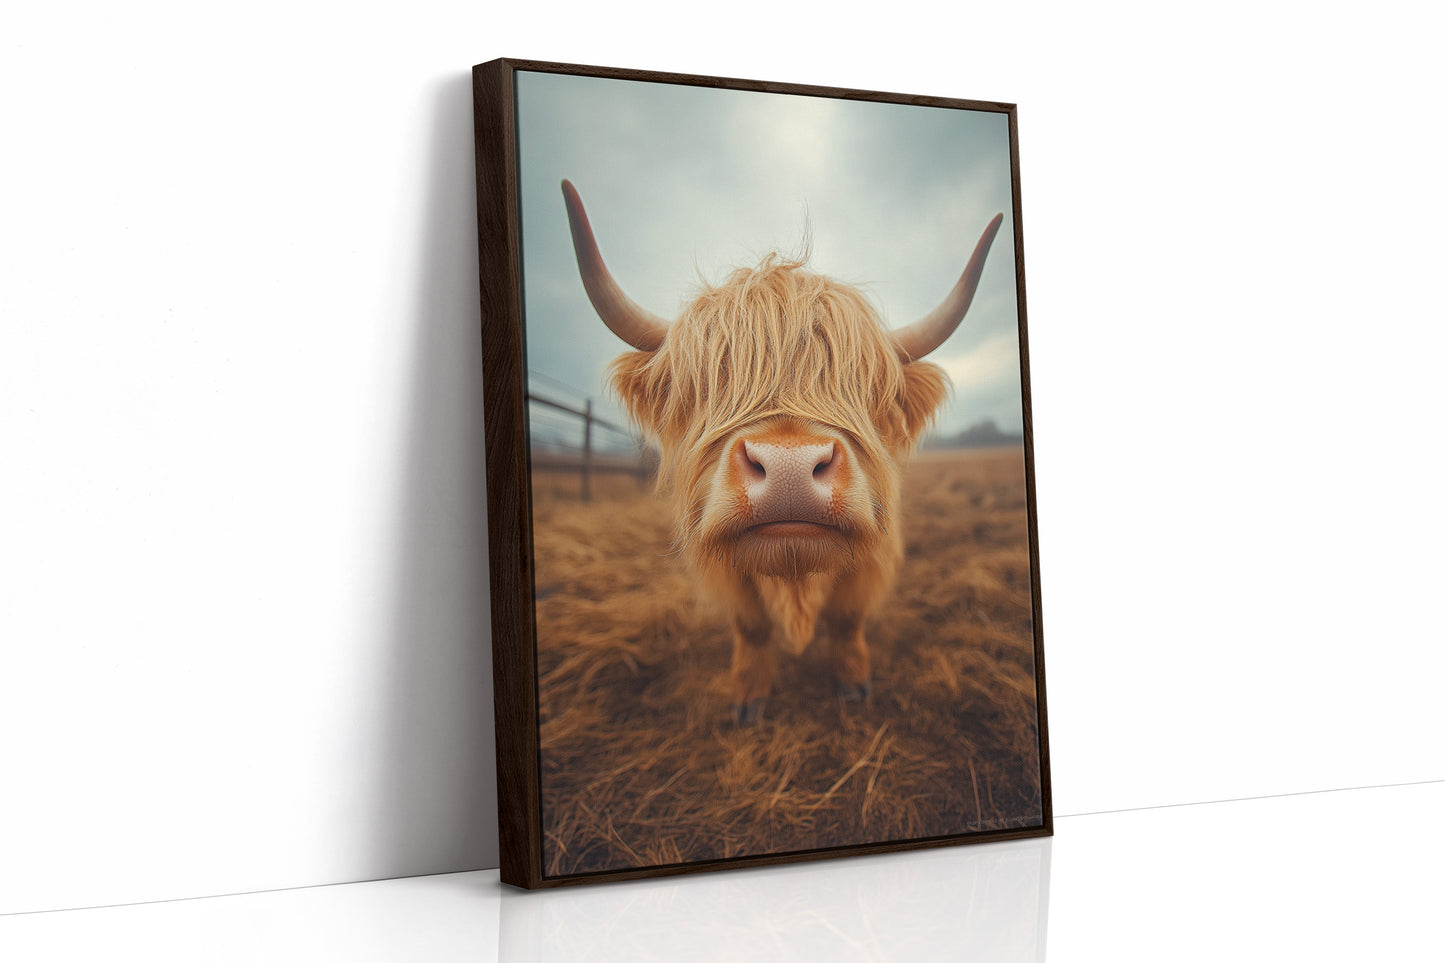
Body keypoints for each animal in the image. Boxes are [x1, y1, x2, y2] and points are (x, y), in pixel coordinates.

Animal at [560, 179, 1004, 725]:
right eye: (711, 382)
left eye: (861, 385)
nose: (789, 469)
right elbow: (751, 624)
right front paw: (748, 697)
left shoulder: (874, 547)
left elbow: (846, 616)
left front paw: (853, 683)